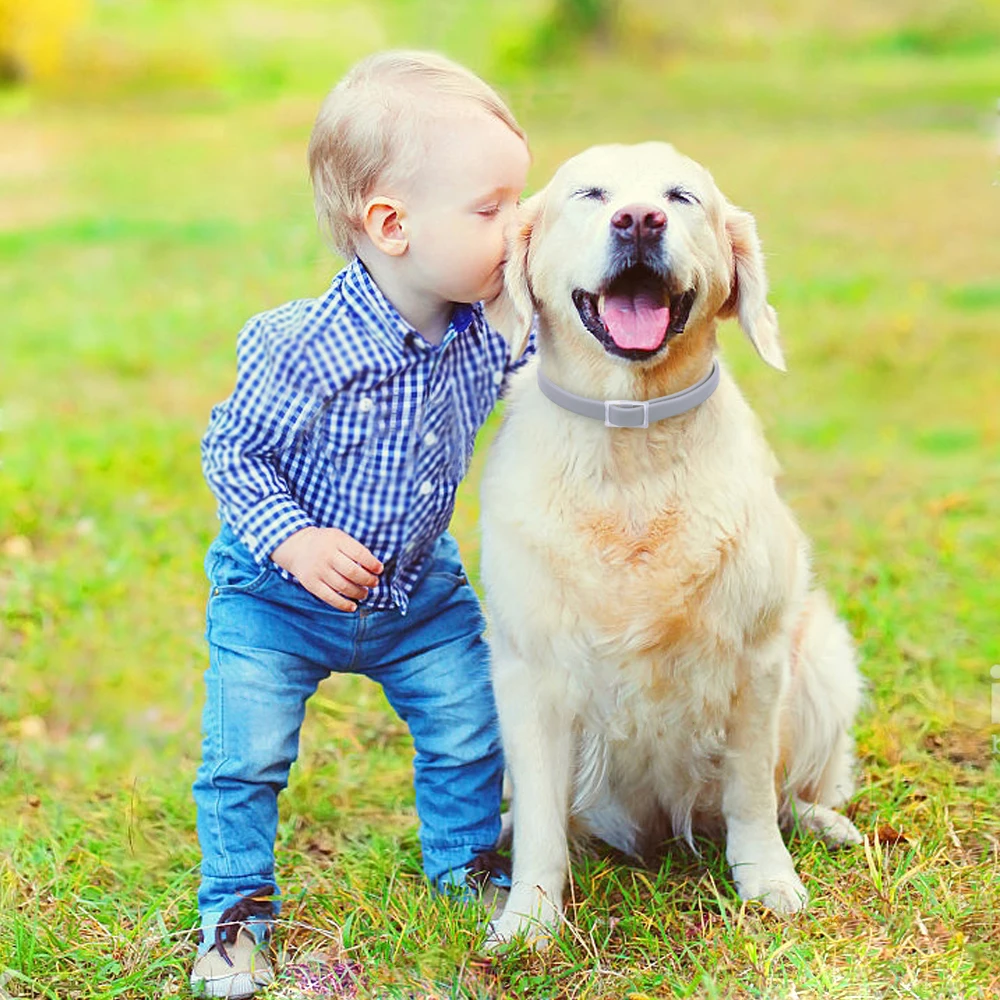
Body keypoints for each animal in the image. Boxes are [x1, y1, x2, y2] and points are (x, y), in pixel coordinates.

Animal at [480, 141, 864, 944]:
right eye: (591, 194)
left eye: (680, 197)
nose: (638, 220)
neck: (632, 439)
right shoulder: (528, 671)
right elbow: (541, 821)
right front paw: (528, 920)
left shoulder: (756, 660)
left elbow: (751, 793)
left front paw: (768, 880)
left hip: (821, 658)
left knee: (793, 790)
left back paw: (824, 823)